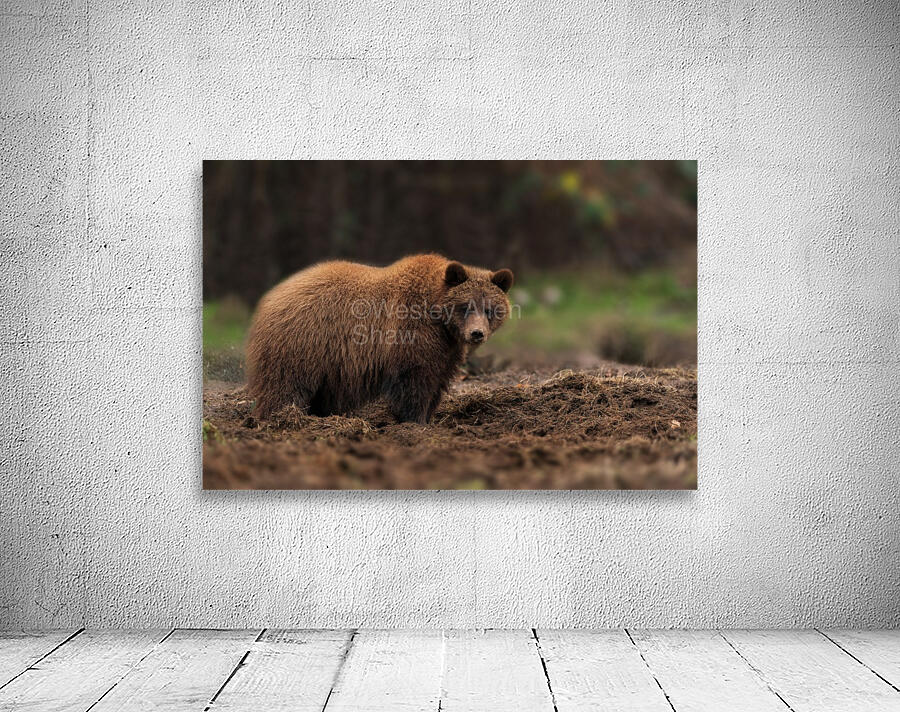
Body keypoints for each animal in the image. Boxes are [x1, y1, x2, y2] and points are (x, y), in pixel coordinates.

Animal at [245, 253, 514, 424]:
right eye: (465, 306)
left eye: (490, 309)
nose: (476, 333)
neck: (439, 319)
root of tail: (270, 297)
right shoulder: (410, 334)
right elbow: (414, 383)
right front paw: (414, 421)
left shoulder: (446, 348)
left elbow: (437, 381)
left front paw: (429, 417)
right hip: (302, 343)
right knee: (285, 386)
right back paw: (279, 418)